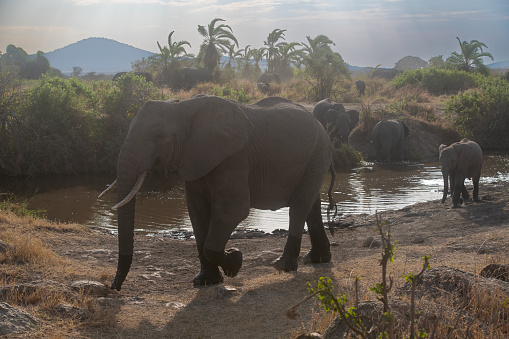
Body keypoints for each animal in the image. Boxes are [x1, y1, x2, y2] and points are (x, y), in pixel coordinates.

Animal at [99, 94, 338, 290]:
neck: (184, 107)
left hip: (319, 153)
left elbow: (233, 210)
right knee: (311, 205)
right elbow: (197, 212)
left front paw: (235, 261)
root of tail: (321, 125)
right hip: (315, 158)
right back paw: (317, 259)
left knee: (299, 206)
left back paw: (283, 266)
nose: (114, 287)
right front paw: (205, 281)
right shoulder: (194, 157)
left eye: (159, 136)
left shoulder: (233, 158)